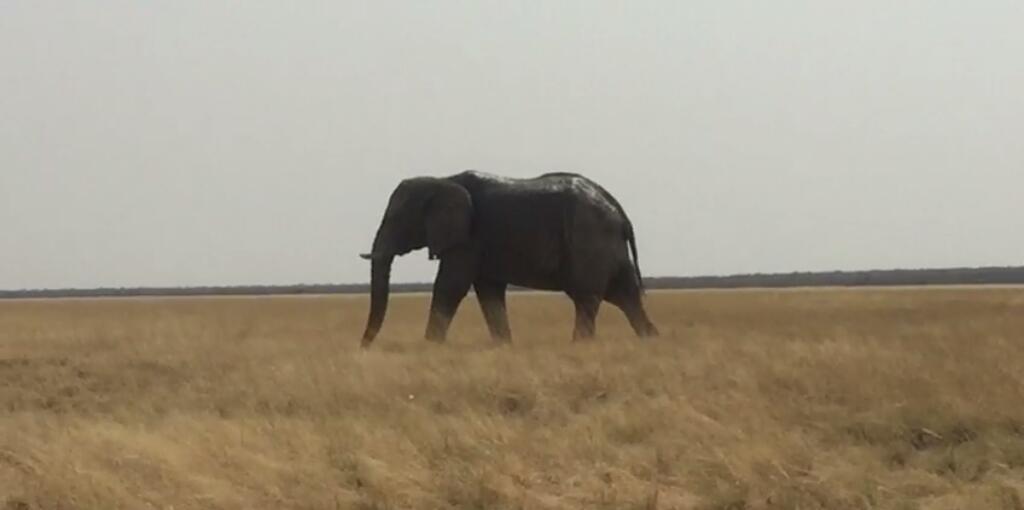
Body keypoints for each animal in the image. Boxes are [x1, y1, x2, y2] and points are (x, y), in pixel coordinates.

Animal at [358, 170, 659, 347]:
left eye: (397, 220)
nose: (364, 346)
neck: (441, 180)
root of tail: (618, 210)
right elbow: (488, 292)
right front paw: (503, 347)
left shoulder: (469, 236)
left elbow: (449, 286)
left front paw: (430, 347)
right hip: (605, 244)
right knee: (625, 295)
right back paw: (651, 340)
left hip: (589, 238)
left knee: (588, 297)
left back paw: (581, 346)